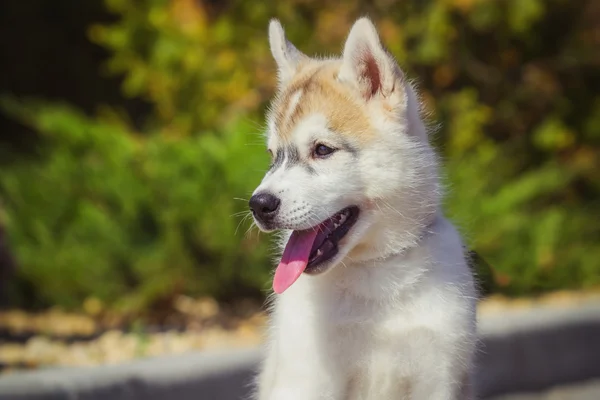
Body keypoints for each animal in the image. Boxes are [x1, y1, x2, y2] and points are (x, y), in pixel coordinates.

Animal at [248, 16, 478, 400]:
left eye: (322, 150)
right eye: (272, 155)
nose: (258, 205)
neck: (375, 273)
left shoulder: (436, 376)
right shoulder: (309, 380)